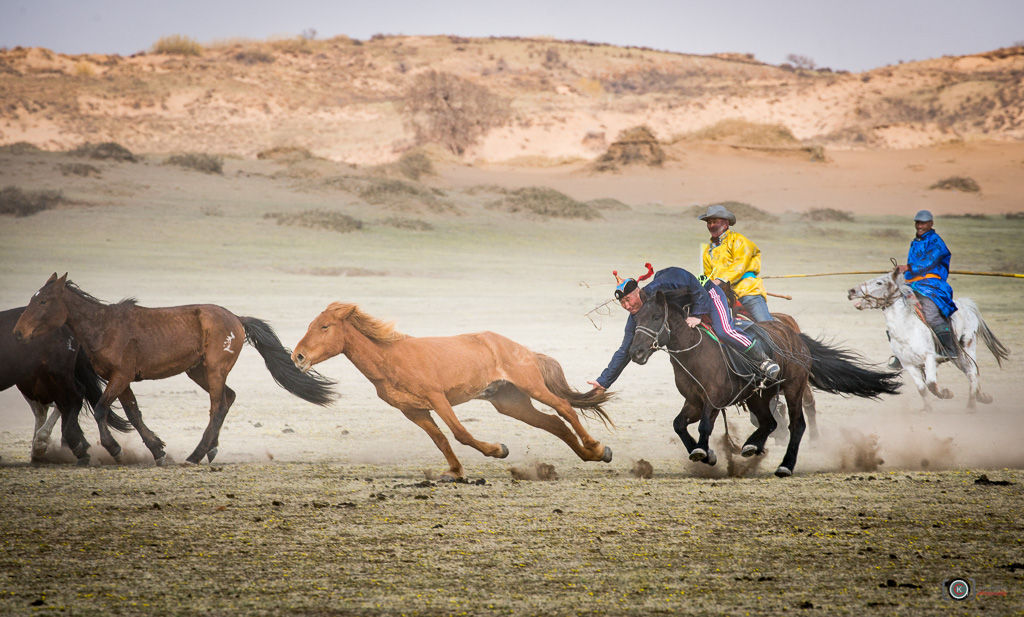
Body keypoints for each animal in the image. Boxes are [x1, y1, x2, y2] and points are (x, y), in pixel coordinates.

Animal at [288, 300, 610, 480]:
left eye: (325, 326)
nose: (298, 357)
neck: (390, 359)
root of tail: (524, 350)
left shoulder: (437, 399)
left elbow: (460, 434)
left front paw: (498, 450)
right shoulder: (414, 411)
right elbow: (441, 440)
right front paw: (454, 472)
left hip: (531, 386)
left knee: (563, 408)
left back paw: (597, 447)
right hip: (511, 402)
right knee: (553, 422)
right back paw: (591, 455)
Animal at [626, 290, 901, 478]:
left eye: (656, 316)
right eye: (637, 318)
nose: (635, 352)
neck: (695, 352)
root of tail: (795, 336)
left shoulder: (714, 400)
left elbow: (704, 425)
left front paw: (702, 451)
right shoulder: (694, 401)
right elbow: (679, 425)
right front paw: (708, 454)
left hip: (793, 388)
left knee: (797, 425)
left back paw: (785, 465)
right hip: (758, 396)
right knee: (769, 422)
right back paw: (751, 446)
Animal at [847, 270, 1007, 411]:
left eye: (879, 282)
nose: (851, 291)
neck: (907, 330)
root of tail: (965, 304)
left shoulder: (929, 358)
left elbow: (930, 383)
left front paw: (946, 393)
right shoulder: (908, 364)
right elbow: (922, 389)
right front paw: (927, 409)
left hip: (968, 346)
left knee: (972, 372)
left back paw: (971, 406)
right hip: (958, 356)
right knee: (969, 372)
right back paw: (982, 397)